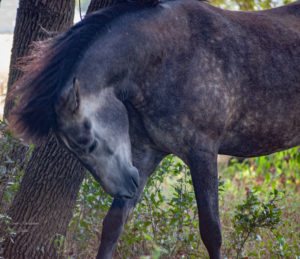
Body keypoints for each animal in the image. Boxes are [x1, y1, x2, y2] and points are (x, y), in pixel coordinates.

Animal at [9, 0, 300, 258]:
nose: (128, 186)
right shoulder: (147, 153)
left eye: (88, 141)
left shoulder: (202, 153)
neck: (169, 56)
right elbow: (113, 224)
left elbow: (211, 231)